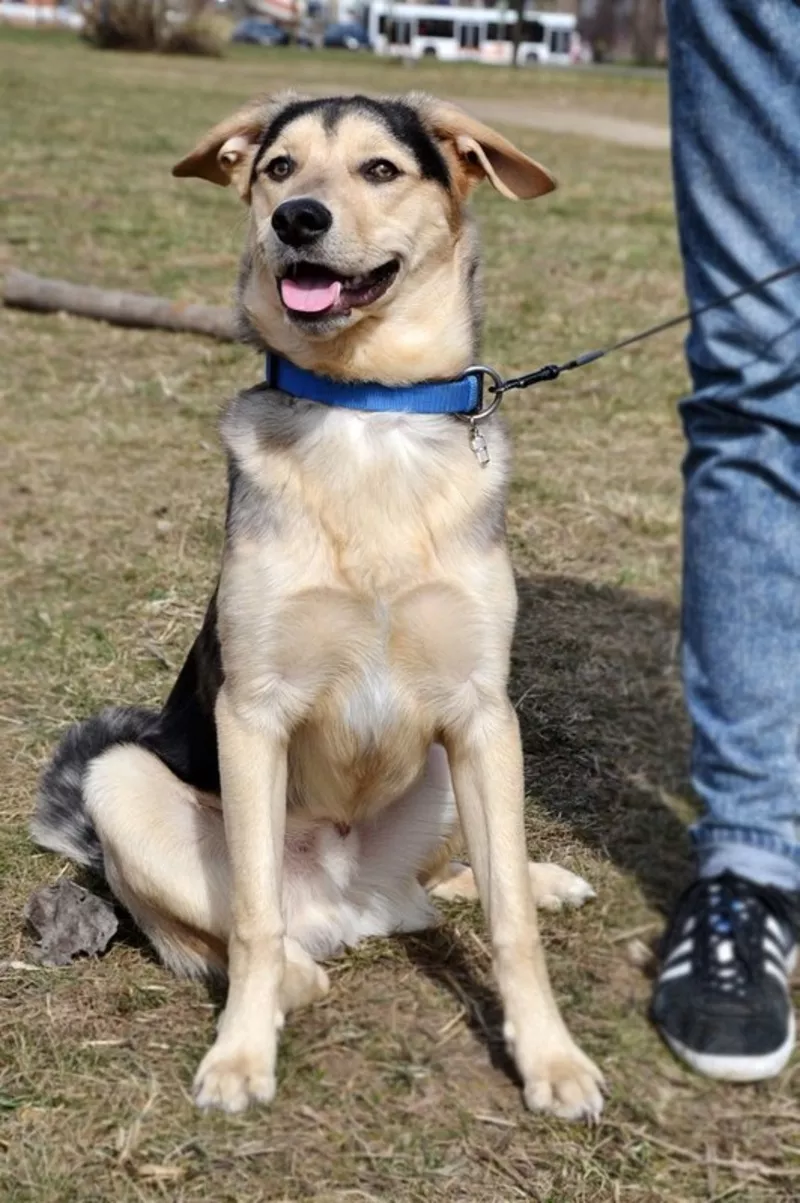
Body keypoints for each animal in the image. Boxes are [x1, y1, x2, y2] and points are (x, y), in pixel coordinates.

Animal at [32, 89, 599, 1121]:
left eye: (381, 169)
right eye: (279, 168)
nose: (298, 221)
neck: (367, 411)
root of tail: (355, 906)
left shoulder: (482, 713)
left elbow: (509, 922)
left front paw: (551, 1056)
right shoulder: (250, 714)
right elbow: (253, 921)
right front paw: (240, 1056)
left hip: (455, 770)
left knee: (454, 880)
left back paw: (534, 879)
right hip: (120, 781)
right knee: (235, 935)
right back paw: (294, 976)